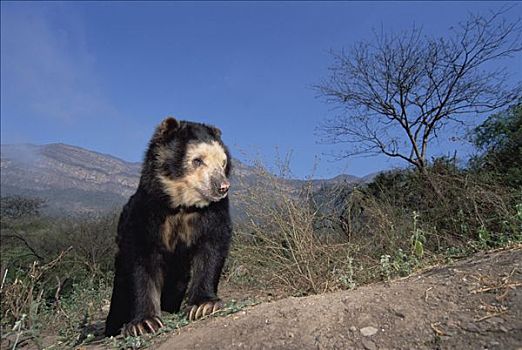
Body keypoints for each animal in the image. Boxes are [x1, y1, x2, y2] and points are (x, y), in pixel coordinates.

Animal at [104, 117, 231, 336]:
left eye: (223, 163)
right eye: (197, 160)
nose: (222, 187)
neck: (181, 205)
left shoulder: (214, 213)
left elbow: (212, 248)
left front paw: (203, 306)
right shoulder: (146, 214)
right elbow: (142, 262)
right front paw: (144, 323)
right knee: (121, 288)